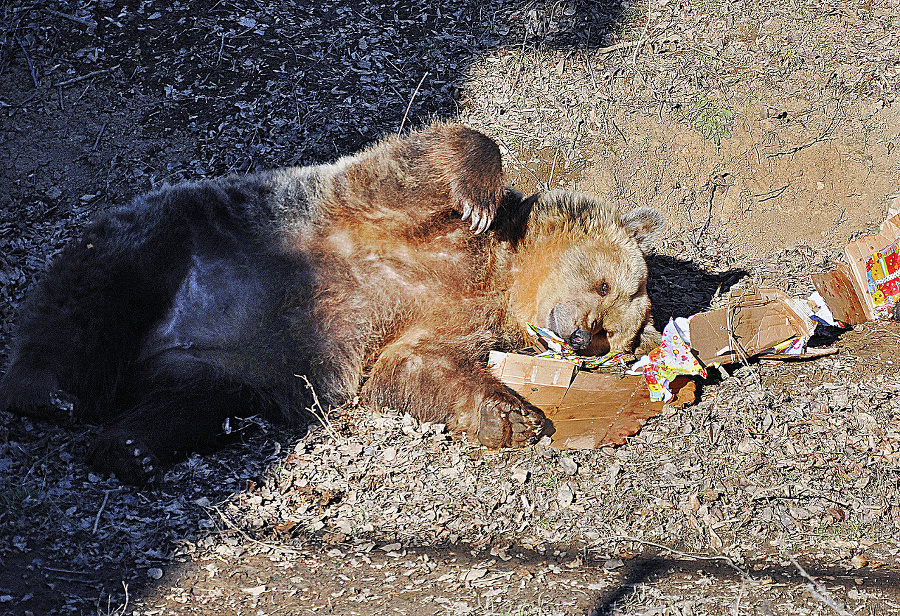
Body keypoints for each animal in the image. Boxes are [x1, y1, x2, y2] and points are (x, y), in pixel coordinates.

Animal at [0, 122, 660, 484]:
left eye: (615, 337)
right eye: (605, 288)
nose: (582, 336)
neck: (499, 275)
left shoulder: (444, 323)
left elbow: (413, 369)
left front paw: (510, 414)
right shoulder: (394, 217)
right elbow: (423, 160)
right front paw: (476, 187)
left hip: (224, 368)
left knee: (189, 403)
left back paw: (130, 447)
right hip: (173, 241)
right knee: (98, 295)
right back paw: (48, 390)